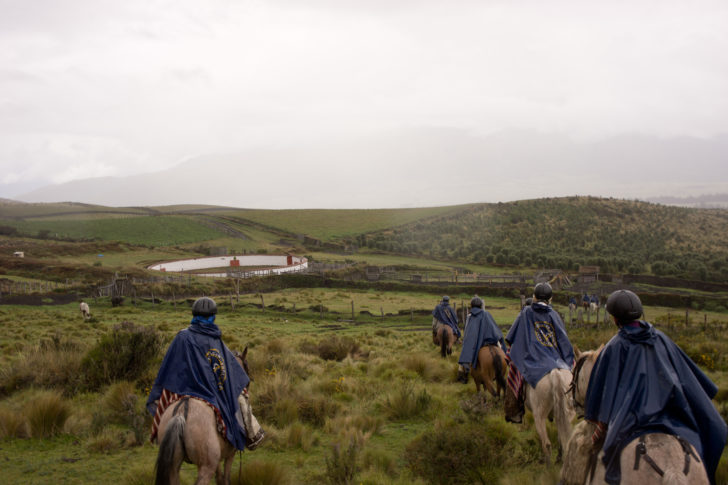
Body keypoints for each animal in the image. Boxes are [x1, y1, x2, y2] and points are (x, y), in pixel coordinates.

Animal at [154, 346, 253, 484]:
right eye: (247, 368)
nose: (246, 388)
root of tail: (181, 412)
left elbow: (220, 478)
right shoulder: (230, 454)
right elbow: (226, 479)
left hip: (173, 467)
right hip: (206, 467)